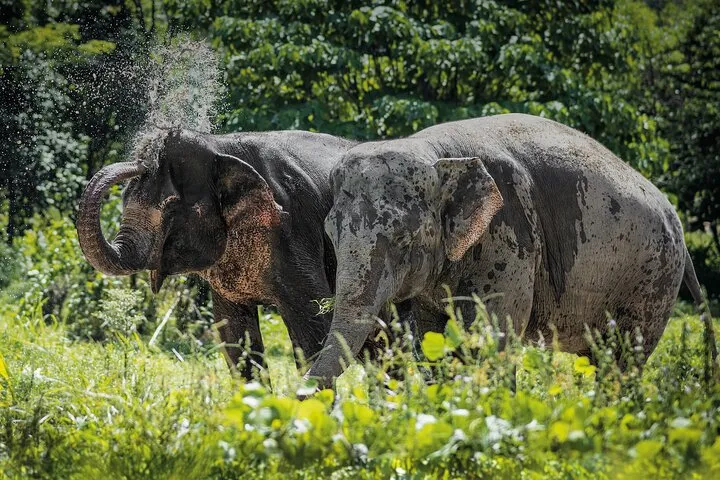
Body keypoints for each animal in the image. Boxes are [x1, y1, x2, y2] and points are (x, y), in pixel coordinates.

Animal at [77, 128, 356, 380]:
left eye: (172, 208)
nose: (141, 162)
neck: (218, 146)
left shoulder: (293, 230)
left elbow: (316, 328)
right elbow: (234, 337)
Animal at [305, 113, 717, 389]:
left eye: (405, 240)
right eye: (331, 235)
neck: (436, 154)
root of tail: (675, 217)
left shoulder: (511, 237)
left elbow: (493, 336)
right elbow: (431, 337)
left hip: (653, 277)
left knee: (624, 359)